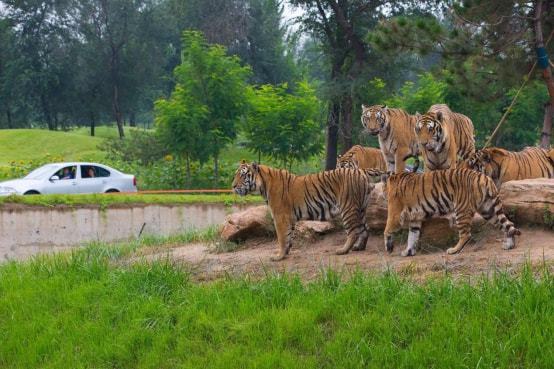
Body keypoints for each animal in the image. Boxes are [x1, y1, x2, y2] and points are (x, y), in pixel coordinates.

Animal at [229, 160, 376, 260]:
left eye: (243, 175)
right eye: (236, 175)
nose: (233, 186)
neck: (263, 186)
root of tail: (361, 171)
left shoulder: (280, 216)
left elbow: (281, 237)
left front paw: (278, 256)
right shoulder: (289, 218)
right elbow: (288, 236)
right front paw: (286, 253)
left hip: (348, 207)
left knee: (354, 231)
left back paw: (343, 250)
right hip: (361, 208)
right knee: (365, 229)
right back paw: (359, 247)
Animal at [370, 167, 516, 256]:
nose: (382, 195)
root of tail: (485, 177)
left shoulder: (394, 214)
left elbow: (387, 230)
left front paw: (389, 248)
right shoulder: (415, 219)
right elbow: (412, 236)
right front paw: (408, 252)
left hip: (462, 210)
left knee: (466, 234)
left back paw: (453, 250)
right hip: (488, 209)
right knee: (508, 225)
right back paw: (509, 245)